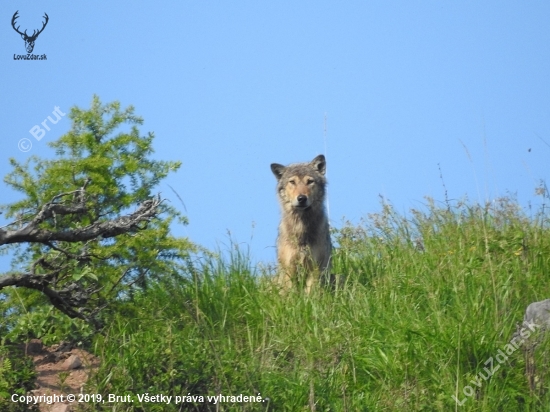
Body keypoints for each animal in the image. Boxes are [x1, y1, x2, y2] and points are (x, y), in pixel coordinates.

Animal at [270, 154, 332, 292]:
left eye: (310, 181)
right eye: (292, 182)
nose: (302, 198)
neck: (301, 229)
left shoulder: (316, 268)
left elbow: (310, 293)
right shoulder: (289, 268)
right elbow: (291, 292)